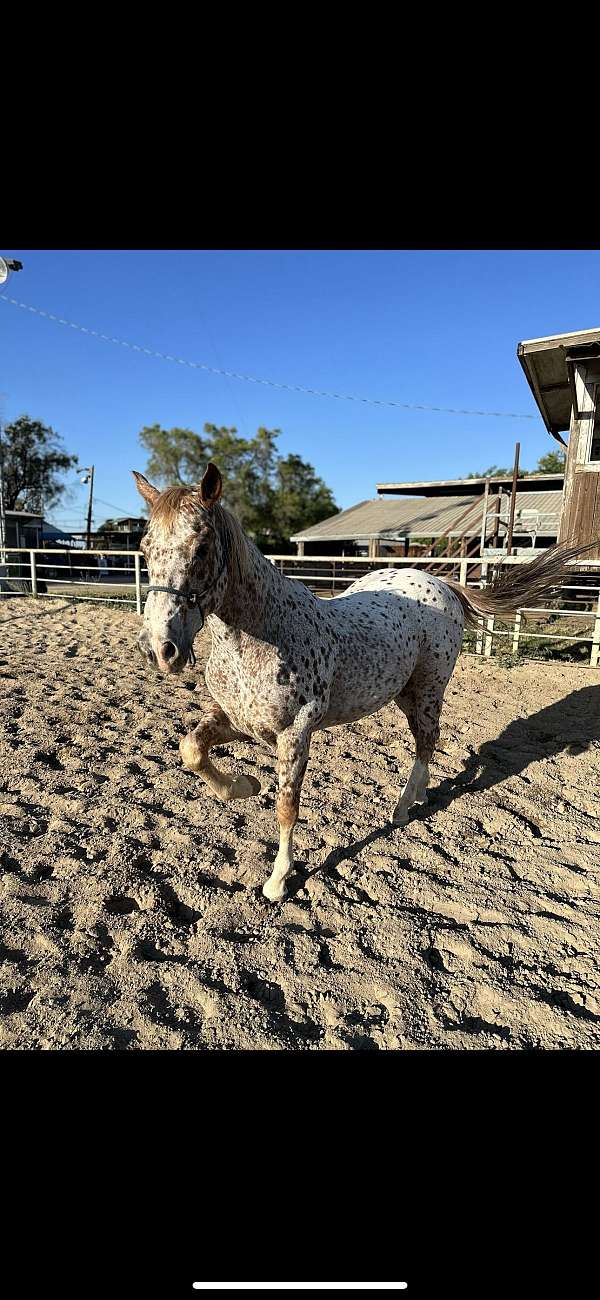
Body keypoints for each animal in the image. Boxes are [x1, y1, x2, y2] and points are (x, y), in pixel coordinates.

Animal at [133, 465, 587, 904]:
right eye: (145, 548)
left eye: (202, 547)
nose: (161, 649)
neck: (262, 635)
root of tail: (442, 585)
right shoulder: (237, 720)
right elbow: (192, 750)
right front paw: (244, 785)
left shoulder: (294, 734)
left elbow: (286, 807)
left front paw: (278, 881)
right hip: (403, 694)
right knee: (427, 743)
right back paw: (419, 796)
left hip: (427, 692)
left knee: (426, 741)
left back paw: (403, 808)